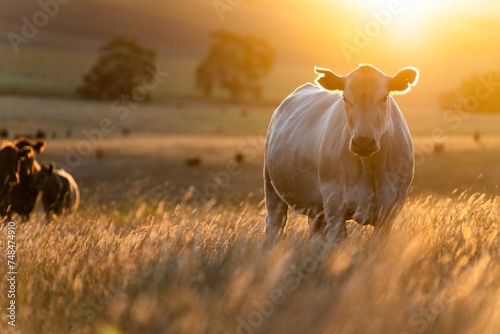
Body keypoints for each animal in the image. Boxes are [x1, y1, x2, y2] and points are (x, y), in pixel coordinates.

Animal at [266, 63, 418, 240]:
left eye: (384, 98)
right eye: (345, 98)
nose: (363, 142)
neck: (371, 169)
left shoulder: (390, 211)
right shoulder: (334, 205)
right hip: (271, 187)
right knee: (274, 223)